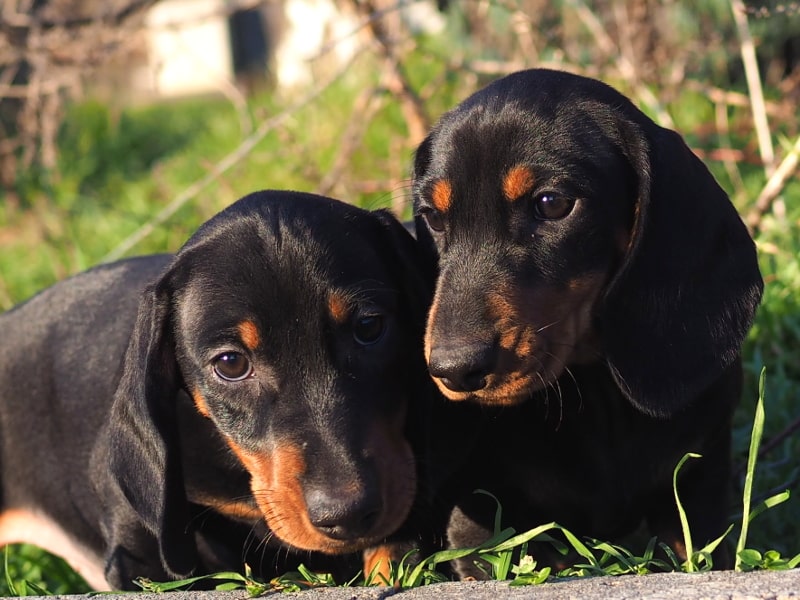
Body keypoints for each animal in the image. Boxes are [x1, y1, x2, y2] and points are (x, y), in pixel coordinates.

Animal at [412, 69, 764, 576]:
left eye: (552, 203)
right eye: (433, 218)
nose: (454, 370)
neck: (598, 392)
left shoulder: (700, 484)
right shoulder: (476, 525)